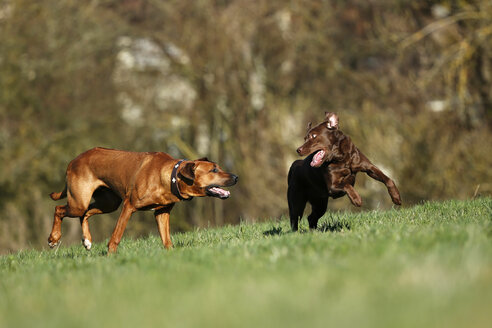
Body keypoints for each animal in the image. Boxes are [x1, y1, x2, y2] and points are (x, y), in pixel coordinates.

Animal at [48, 148, 238, 254]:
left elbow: (167, 240)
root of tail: (73, 161)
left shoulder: (162, 212)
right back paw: (53, 238)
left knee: (85, 213)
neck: (169, 177)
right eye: (214, 170)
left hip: (108, 203)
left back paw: (87, 240)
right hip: (79, 201)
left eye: (219, 167)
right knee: (59, 209)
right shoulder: (129, 206)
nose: (236, 177)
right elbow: (116, 236)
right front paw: (111, 256)